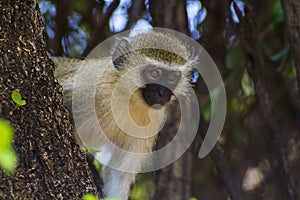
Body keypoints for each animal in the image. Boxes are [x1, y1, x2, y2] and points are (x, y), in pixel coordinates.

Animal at [52, 30, 197, 199]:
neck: (129, 97)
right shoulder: (88, 88)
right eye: (154, 73)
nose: (162, 93)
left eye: (172, 77)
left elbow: (119, 174)